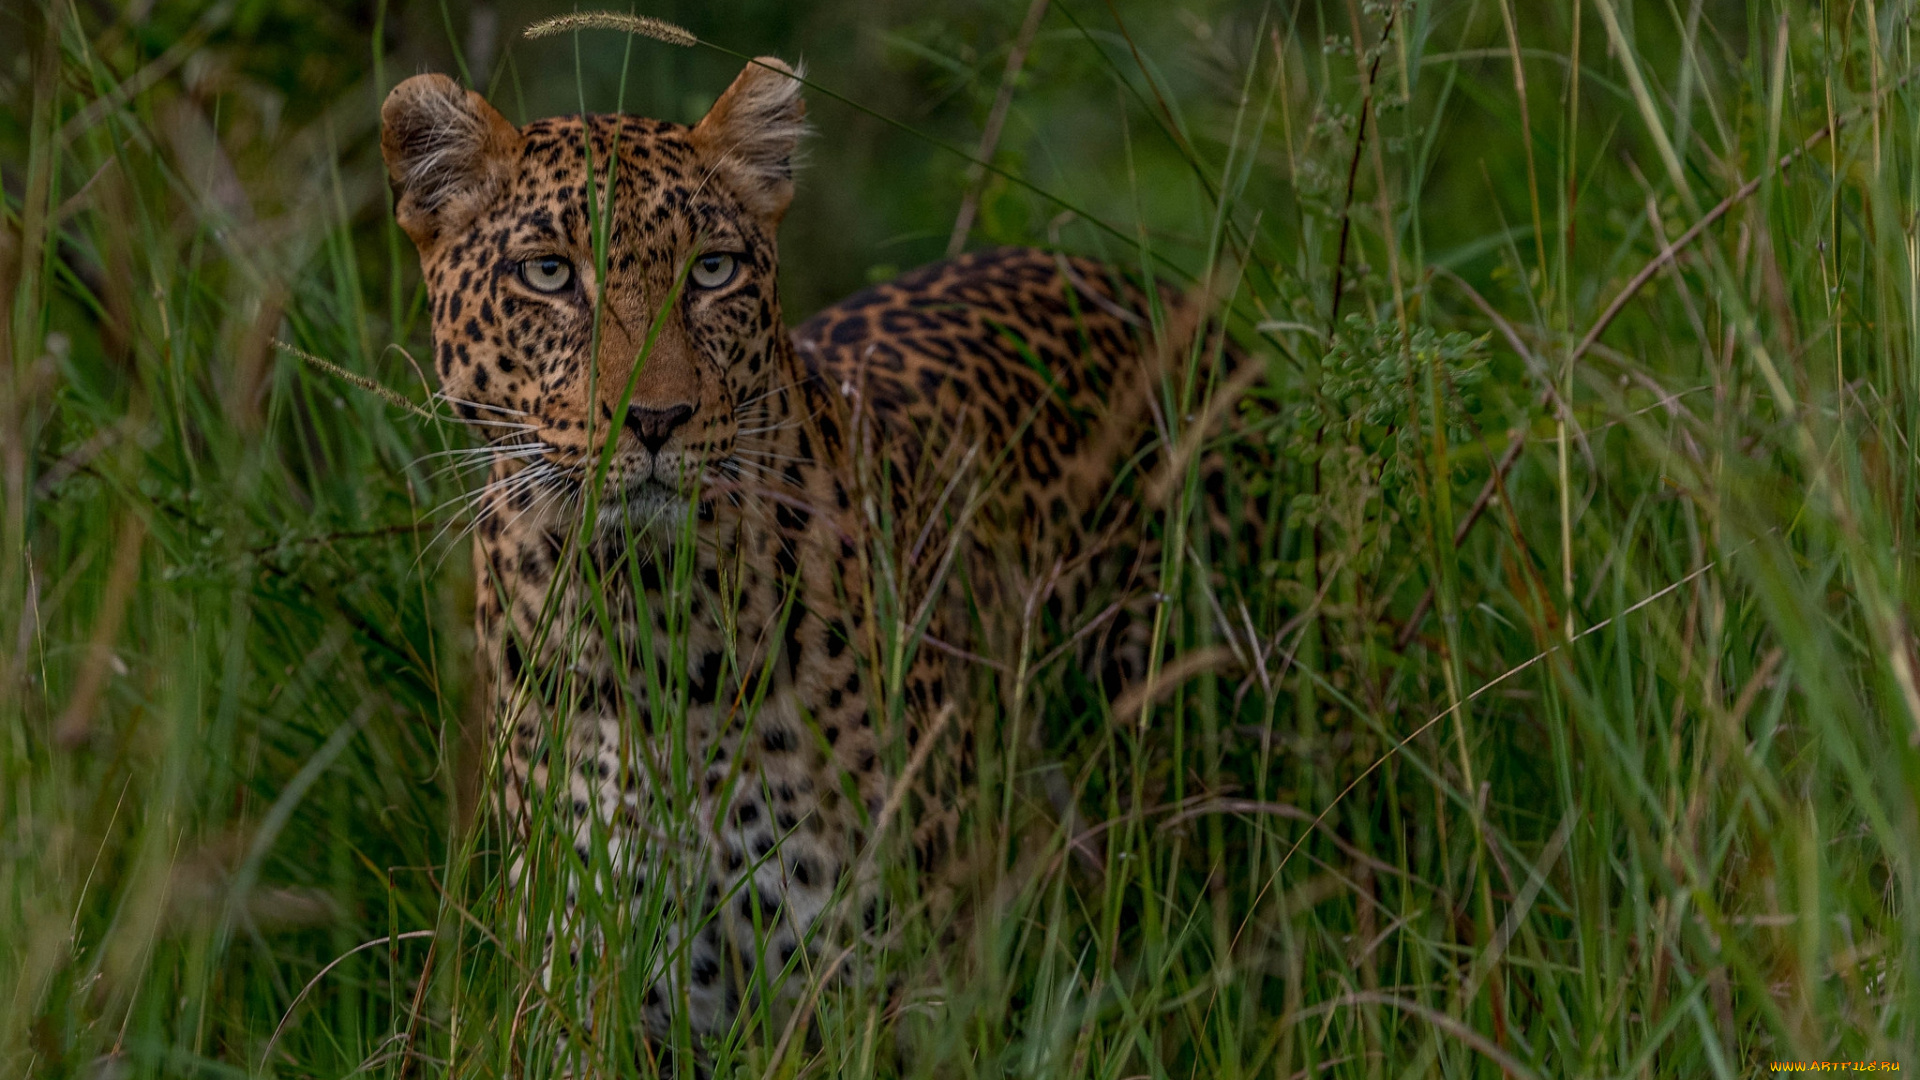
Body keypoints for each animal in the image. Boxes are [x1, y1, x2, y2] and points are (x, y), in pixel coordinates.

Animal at [380, 56, 1239, 1054]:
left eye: (712, 271)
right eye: (549, 274)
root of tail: (1127, 281)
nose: (656, 420)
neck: (648, 615)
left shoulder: (883, 981)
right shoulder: (591, 985)